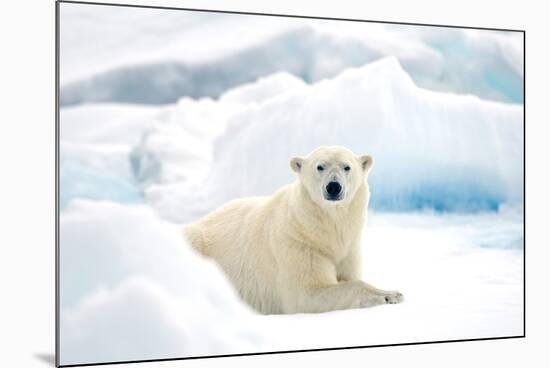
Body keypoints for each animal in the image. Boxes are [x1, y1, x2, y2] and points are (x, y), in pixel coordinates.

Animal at [183, 146, 404, 314]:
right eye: (320, 166)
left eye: (347, 167)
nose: (333, 187)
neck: (321, 230)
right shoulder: (298, 243)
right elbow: (307, 293)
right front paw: (389, 295)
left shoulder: (349, 249)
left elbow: (349, 275)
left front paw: (392, 292)